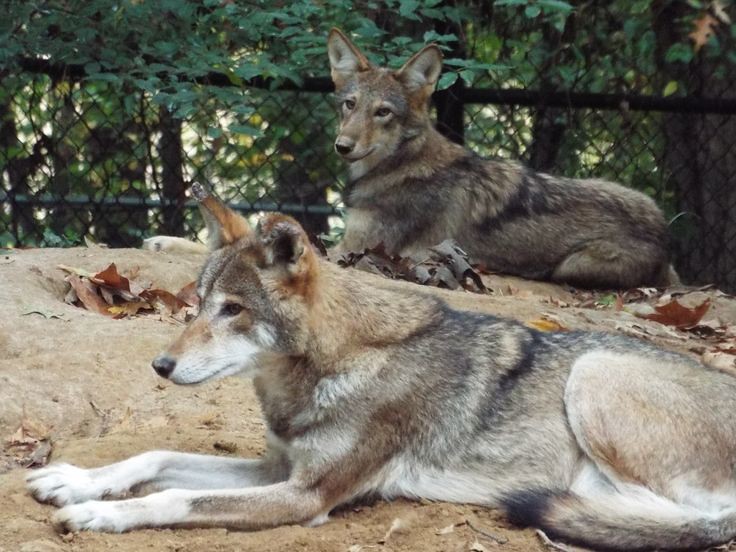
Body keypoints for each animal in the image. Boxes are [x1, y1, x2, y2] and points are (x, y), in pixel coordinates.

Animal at [27, 188, 736, 550]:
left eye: (233, 311)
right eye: (198, 305)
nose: (161, 364)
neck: (331, 367)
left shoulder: (305, 495)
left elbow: (174, 496)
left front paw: (96, 515)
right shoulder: (277, 468)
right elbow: (154, 457)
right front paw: (73, 480)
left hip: (593, 371)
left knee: (669, 518)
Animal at [328, 28, 674, 289]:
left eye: (383, 112)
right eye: (350, 104)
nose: (342, 146)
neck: (402, 164)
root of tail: (662, 234)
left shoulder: (355, 247)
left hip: (572, 265)